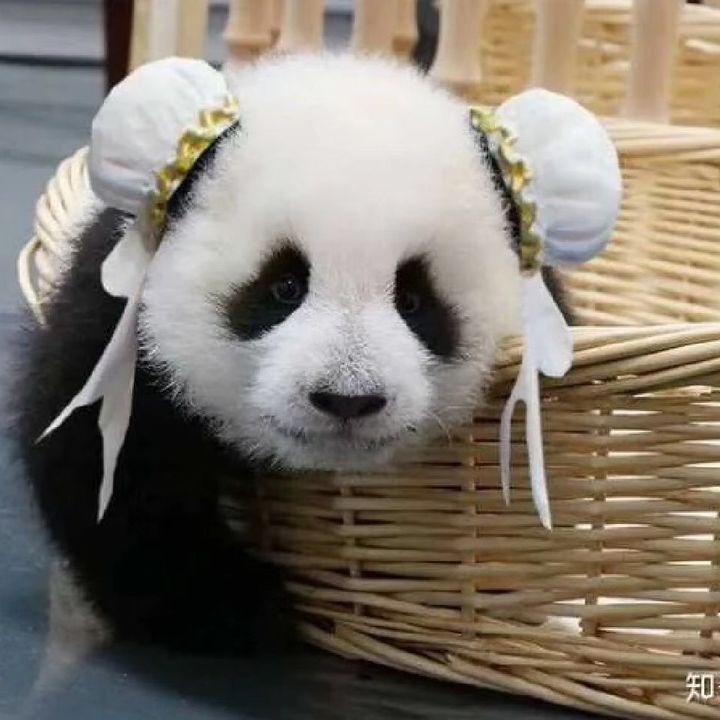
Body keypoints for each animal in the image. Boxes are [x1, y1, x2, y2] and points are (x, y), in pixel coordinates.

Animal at [11, 53, 619, 653]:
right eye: (284, 286)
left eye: (414, 300)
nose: (348, 399)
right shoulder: (124, 318)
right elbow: (108, 465)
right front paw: (232, 605)